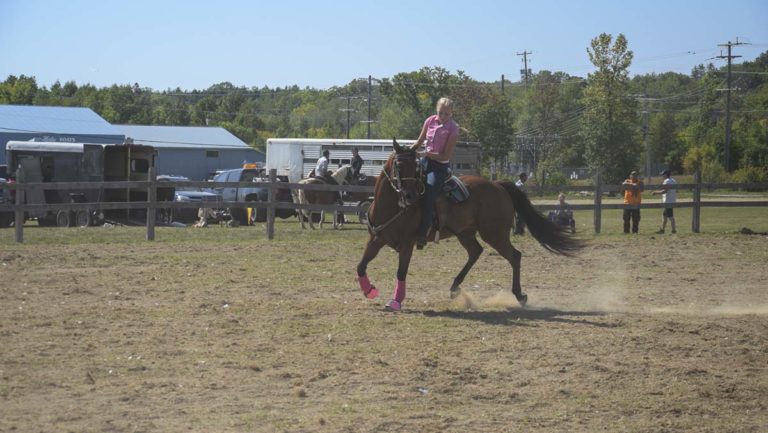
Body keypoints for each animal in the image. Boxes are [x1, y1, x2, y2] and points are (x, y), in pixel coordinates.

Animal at [355, 139, 583, 311]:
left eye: (416, 167)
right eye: (399, 166)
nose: (410, 196)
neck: (390, 207)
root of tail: (498, 185)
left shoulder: (407, 245)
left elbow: (401, 272)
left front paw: (395, 301)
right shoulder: (376, 239)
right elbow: (361, 266)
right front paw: (369, 290)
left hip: (494, 233)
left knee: (514, 256)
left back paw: (519, 295)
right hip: (465, 233)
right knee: (476, 251)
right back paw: (455, 287)